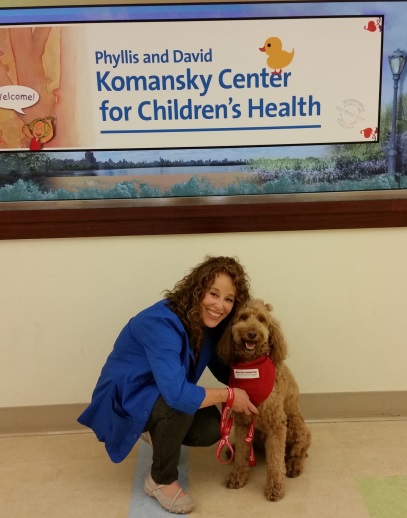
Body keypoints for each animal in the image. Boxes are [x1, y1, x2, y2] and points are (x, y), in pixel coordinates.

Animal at [218, 300, 310, 504]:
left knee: (298, 452)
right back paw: (232, 449)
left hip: (294, 425)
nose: (252, 333)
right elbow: (243, 454)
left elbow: (275, 461)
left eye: (261, 319)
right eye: (243, 317)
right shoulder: (243, 422)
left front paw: (275, 487)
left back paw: (294, 466)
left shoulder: (277, 424)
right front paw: (238, 476)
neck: (252, 367)